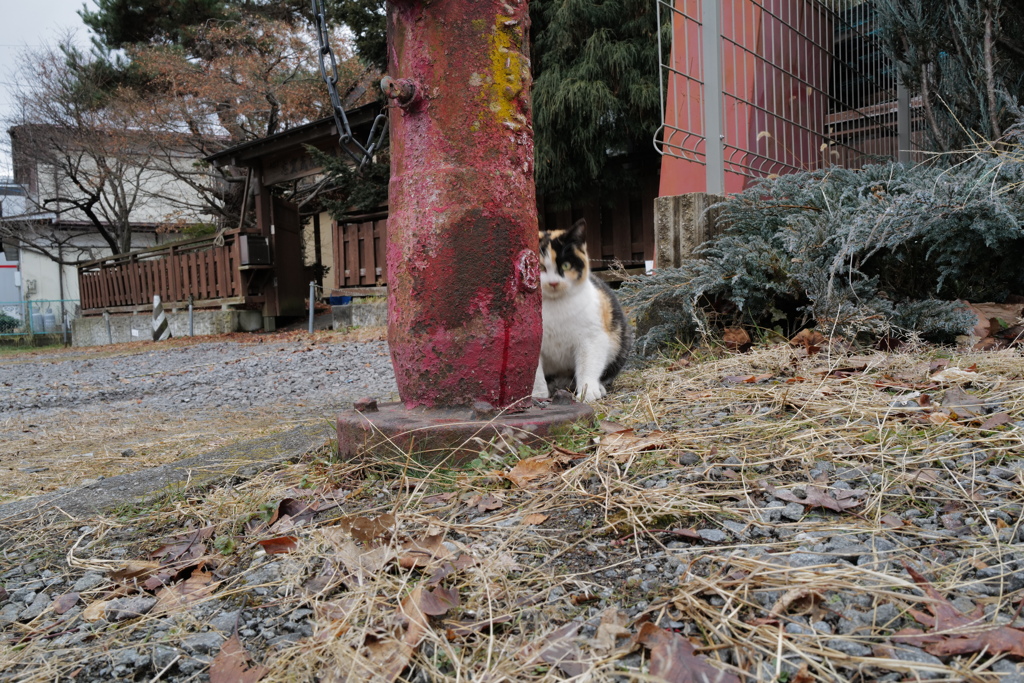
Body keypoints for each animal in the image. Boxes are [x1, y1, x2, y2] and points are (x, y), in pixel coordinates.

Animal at [536, 218, 630, 401]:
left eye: (566, 265)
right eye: (540, 267)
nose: (553, 282)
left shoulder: (592, 337)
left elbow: (588, 365)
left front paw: (588, 392)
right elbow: (535, 374)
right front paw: (536, 396)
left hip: (621, 340)